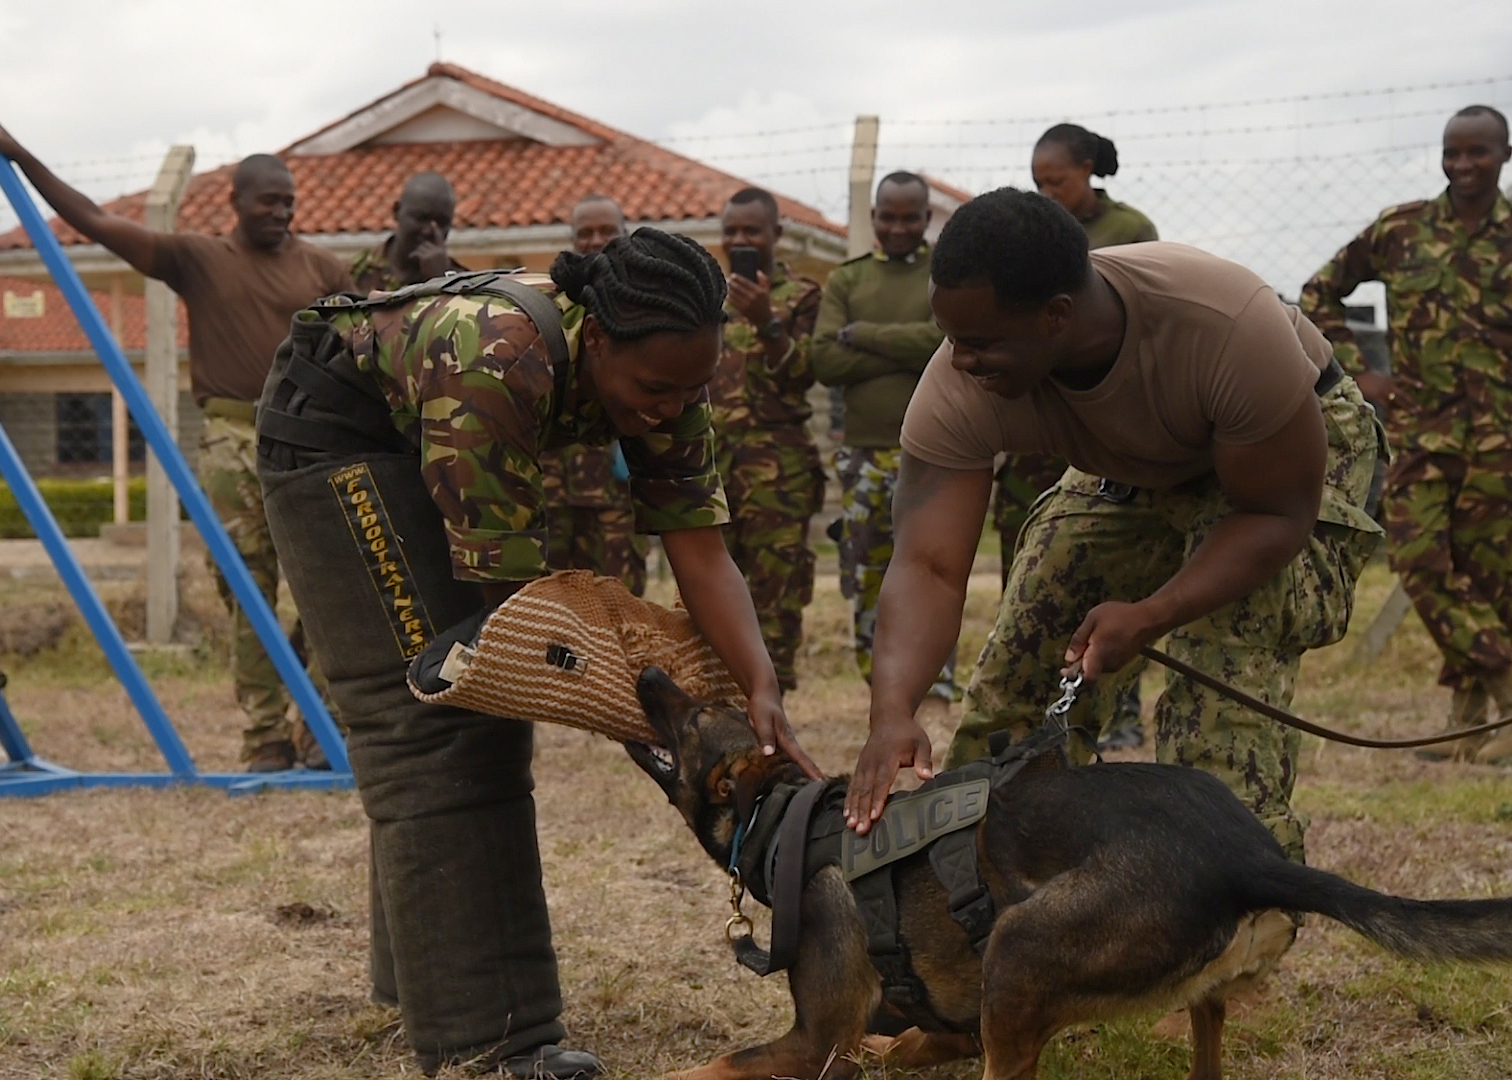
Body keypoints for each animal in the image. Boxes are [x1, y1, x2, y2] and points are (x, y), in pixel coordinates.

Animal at [622, 665, 1512, 1076]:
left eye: (695, 715)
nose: (648, 674)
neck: (781, 816)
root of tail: (1249, 857)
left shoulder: (815, 1039)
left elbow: (710, 1066)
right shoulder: (938, 1021)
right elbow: (905, 1040)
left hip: (1020, 952)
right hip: (1180, 1004)